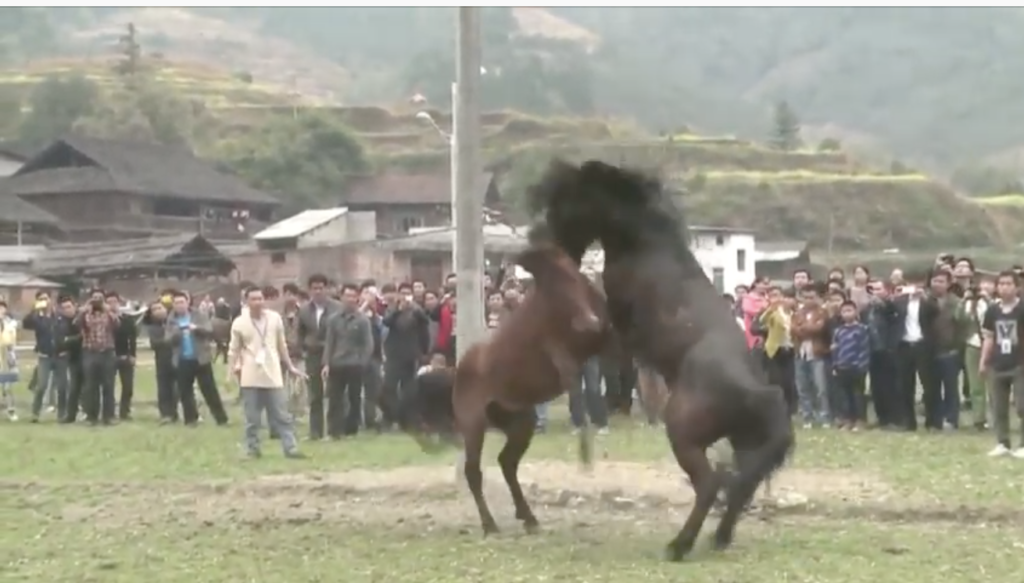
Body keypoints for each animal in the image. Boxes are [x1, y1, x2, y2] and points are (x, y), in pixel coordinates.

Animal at [450, 241, 602, 536]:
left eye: (574, 277)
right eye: (552, 283)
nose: (588, 321)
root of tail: (460, 369)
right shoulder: (563, 356)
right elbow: (577, 393)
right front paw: (586, 453)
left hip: (521, 422)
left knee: (507, 462)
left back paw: (528, 517)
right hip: (473, 423)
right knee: (474, 470)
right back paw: (490, 524)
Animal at [528, 158, 790, 557]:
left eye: (562, 206)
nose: (552, 249)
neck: (644, 242)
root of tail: (757, 393)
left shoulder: (620, 318)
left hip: (683, 433)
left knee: (711, 484)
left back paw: (680, 545)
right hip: (744, 444)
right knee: (739, 485)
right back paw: (718, 538)